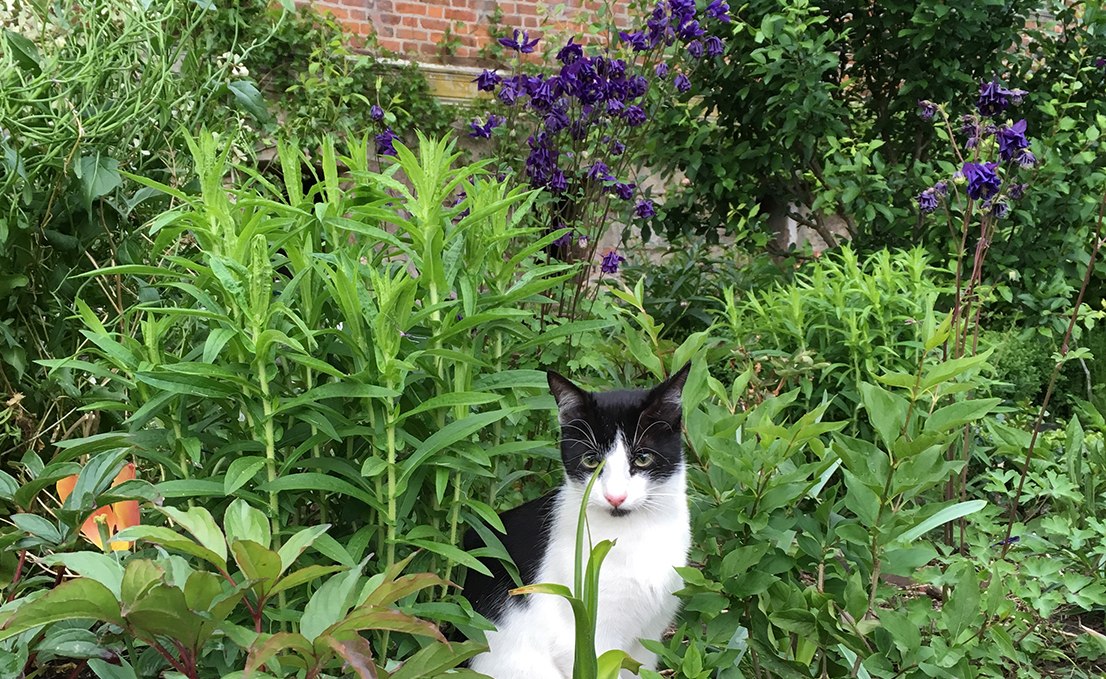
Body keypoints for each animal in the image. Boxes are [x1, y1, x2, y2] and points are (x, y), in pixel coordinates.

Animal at [460, 367, 690, 679]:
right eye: (591, 461)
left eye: (643, 458)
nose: (615, 497)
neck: (634, 536)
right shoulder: (585, 637)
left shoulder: (649, 636)